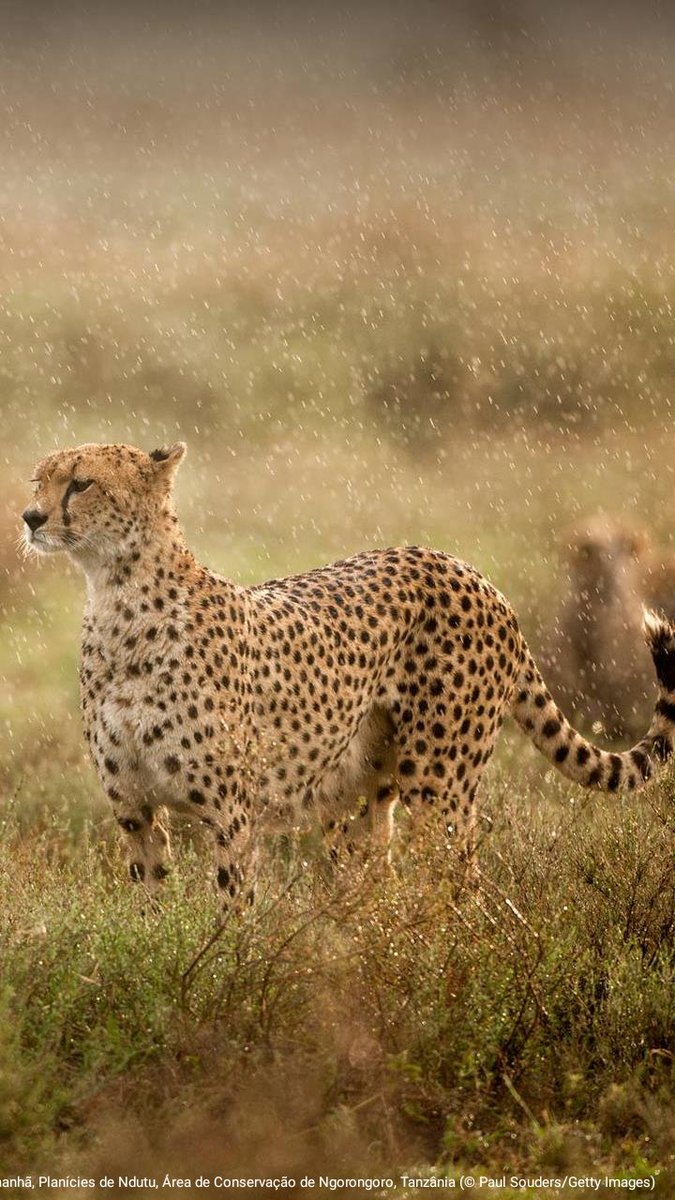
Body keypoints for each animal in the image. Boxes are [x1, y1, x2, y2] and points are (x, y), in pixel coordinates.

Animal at [21, 446, 672, 902]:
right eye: (38, 480)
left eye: (80, 482)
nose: (29, 517)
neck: (117, 597)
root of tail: (469, 569)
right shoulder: (133, 811)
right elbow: (152, 907)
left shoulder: (232, 815)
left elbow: (232, 910)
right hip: (356, 800)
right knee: (378, 885)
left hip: (438, 784)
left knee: (463, 888)